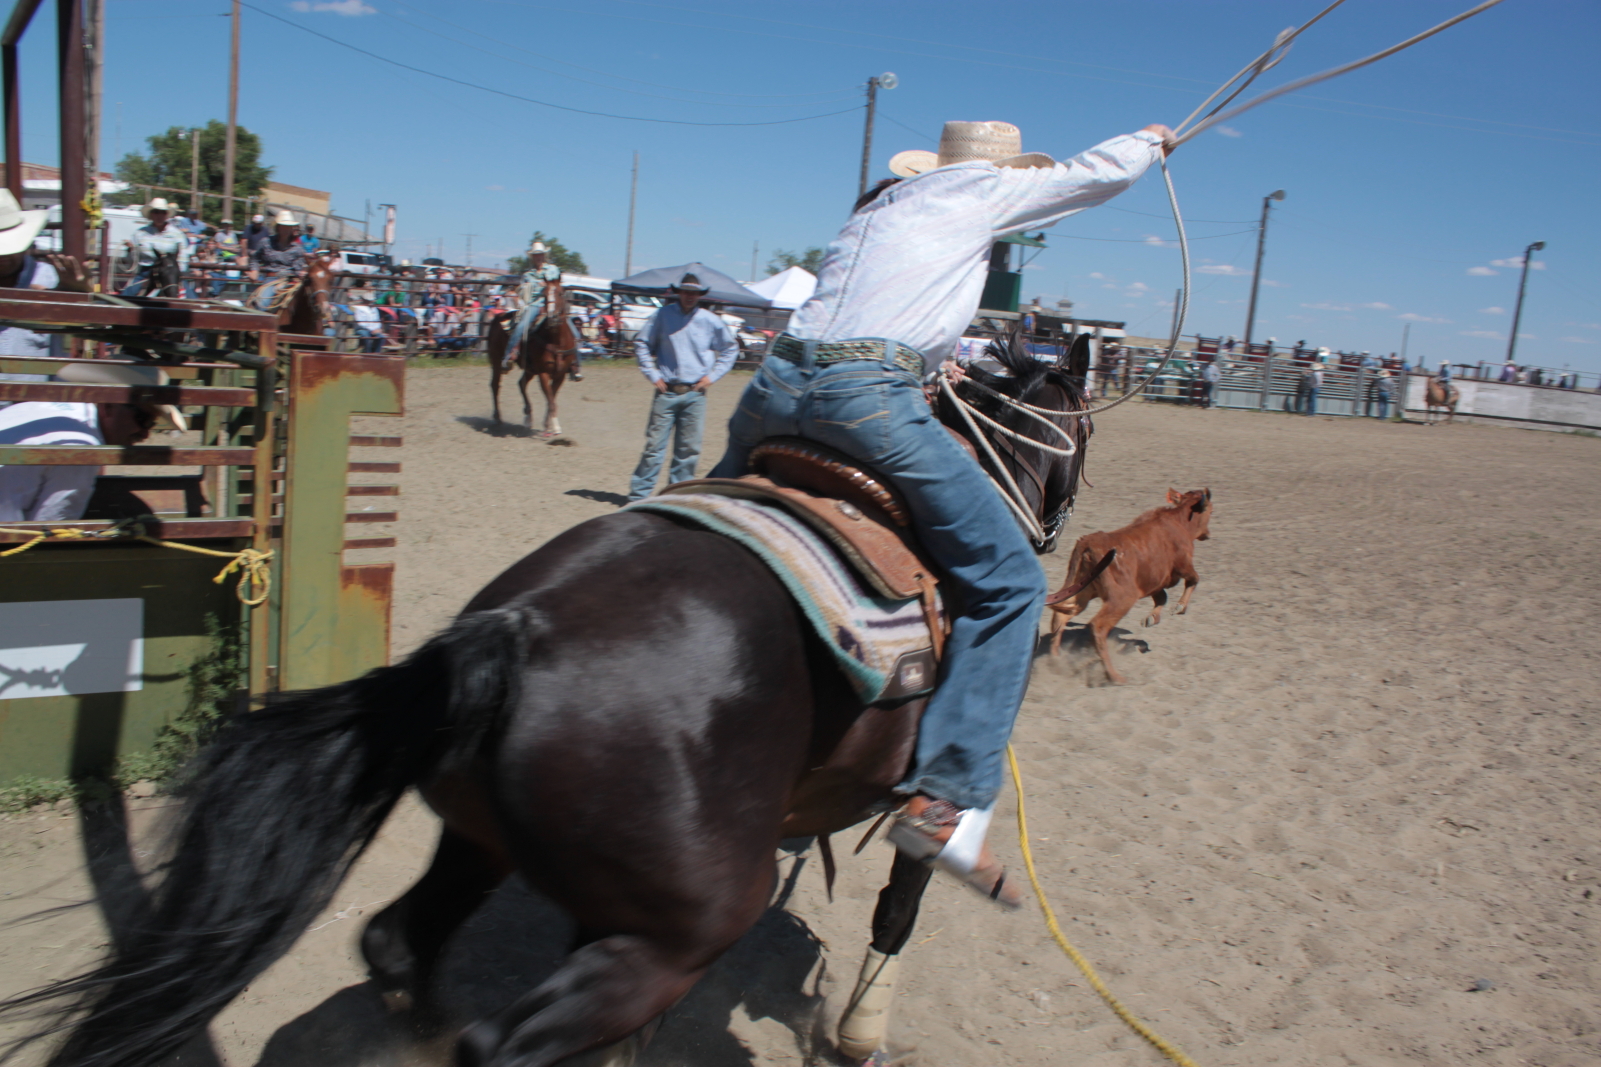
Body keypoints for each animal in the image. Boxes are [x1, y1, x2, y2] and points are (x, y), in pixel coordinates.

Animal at [3, 333, 1088, 1063]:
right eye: (1075, 423)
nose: (1057, 515)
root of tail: (510, 635)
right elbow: (900, 905)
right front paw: (860, 1033)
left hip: (485, 842)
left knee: (398, 943)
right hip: (678, 927)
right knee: (498, 1041)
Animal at [483, 280, 579, 438]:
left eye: (560, 293)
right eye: (544, 295)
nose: (552, 317)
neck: (556, 340)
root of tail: (499, 316)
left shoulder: (560, 375)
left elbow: (551, 397)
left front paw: (547, 425)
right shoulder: (543, 373)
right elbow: (550, 399)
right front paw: (555, 426)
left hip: (530, 369)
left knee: (521, 383)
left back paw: (528, 418)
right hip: (497, 361)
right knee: (495, 385)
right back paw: (498, 418)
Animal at [1043, 487, 1203, 682]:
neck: (1178, 521)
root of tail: (1086, 544)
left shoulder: (1154, 581)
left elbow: (1162, 597)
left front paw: (1151, 619)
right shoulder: (1182, 565)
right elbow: (1193, 579)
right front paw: (1179, 607)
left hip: (1080, 591)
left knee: (1061, 616)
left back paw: (1055, 660)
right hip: (1122, 599)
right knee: (1097, 626)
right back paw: (1114, 676)